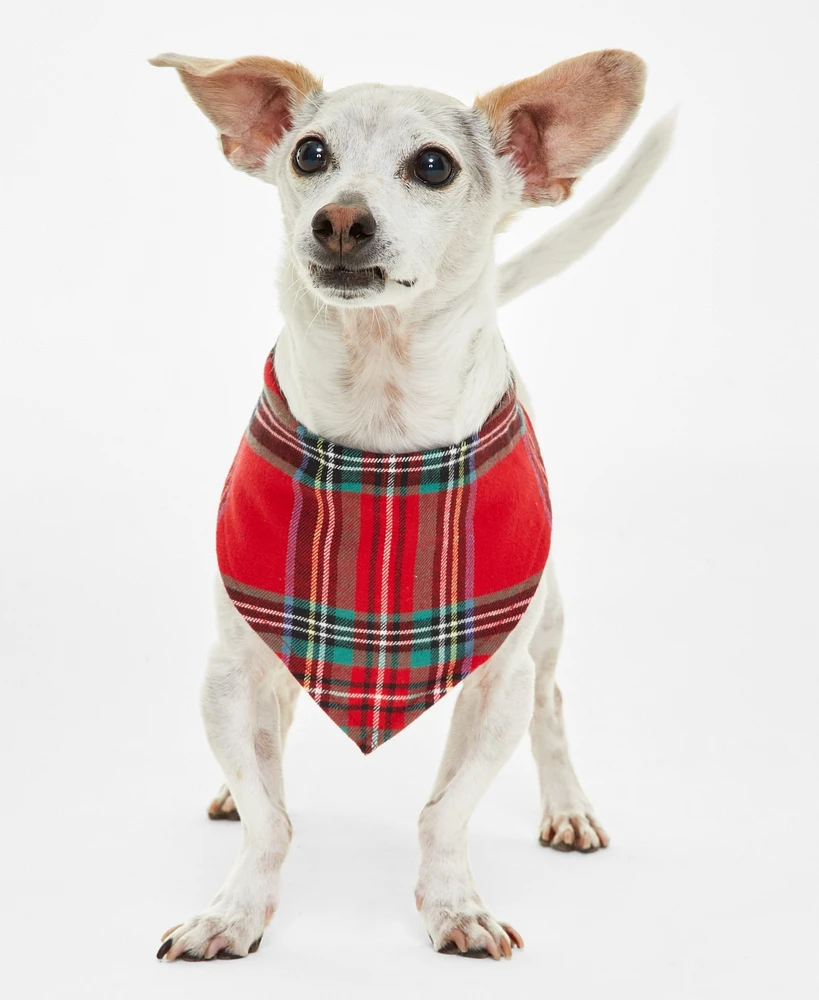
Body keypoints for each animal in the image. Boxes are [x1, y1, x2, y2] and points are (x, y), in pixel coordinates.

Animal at [149, 50, 672, 964]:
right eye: (309, 154)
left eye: (434, 165)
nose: (339, 220)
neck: (380, 430)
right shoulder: (229, 671)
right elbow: (268, 817)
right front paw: (233, 912)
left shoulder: (497, 685)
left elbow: (444, 812)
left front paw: (454, 907)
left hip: (546, 627)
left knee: (552, 707)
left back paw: (568, 806)